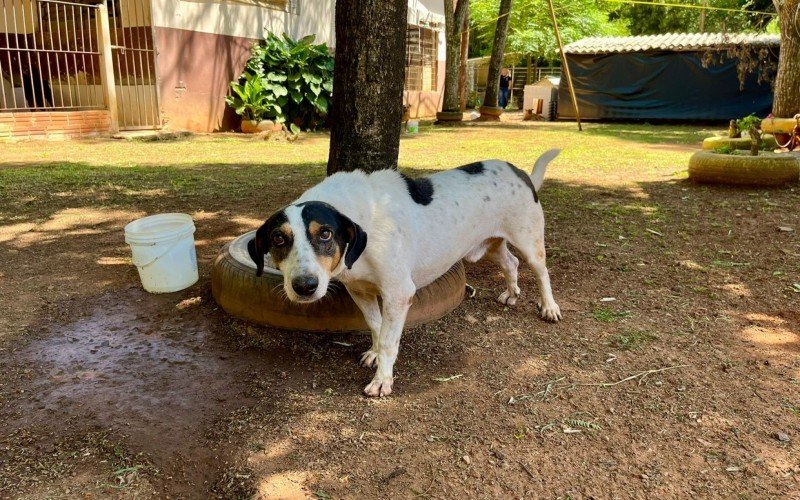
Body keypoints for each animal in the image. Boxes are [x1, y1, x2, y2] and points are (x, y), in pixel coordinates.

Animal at [250, 150, 564, 396]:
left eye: (325, 233)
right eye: (278, 239)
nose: (304, 286)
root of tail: (520, 172)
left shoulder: (398, 294)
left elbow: (390, 340)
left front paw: (383, 380)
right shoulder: (360, 291)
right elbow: (377, 327)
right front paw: (375, 354)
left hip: (530, 242)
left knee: (542, 272)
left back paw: (549, 307)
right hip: (490, 244)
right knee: (511, 263)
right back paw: (511, 293)